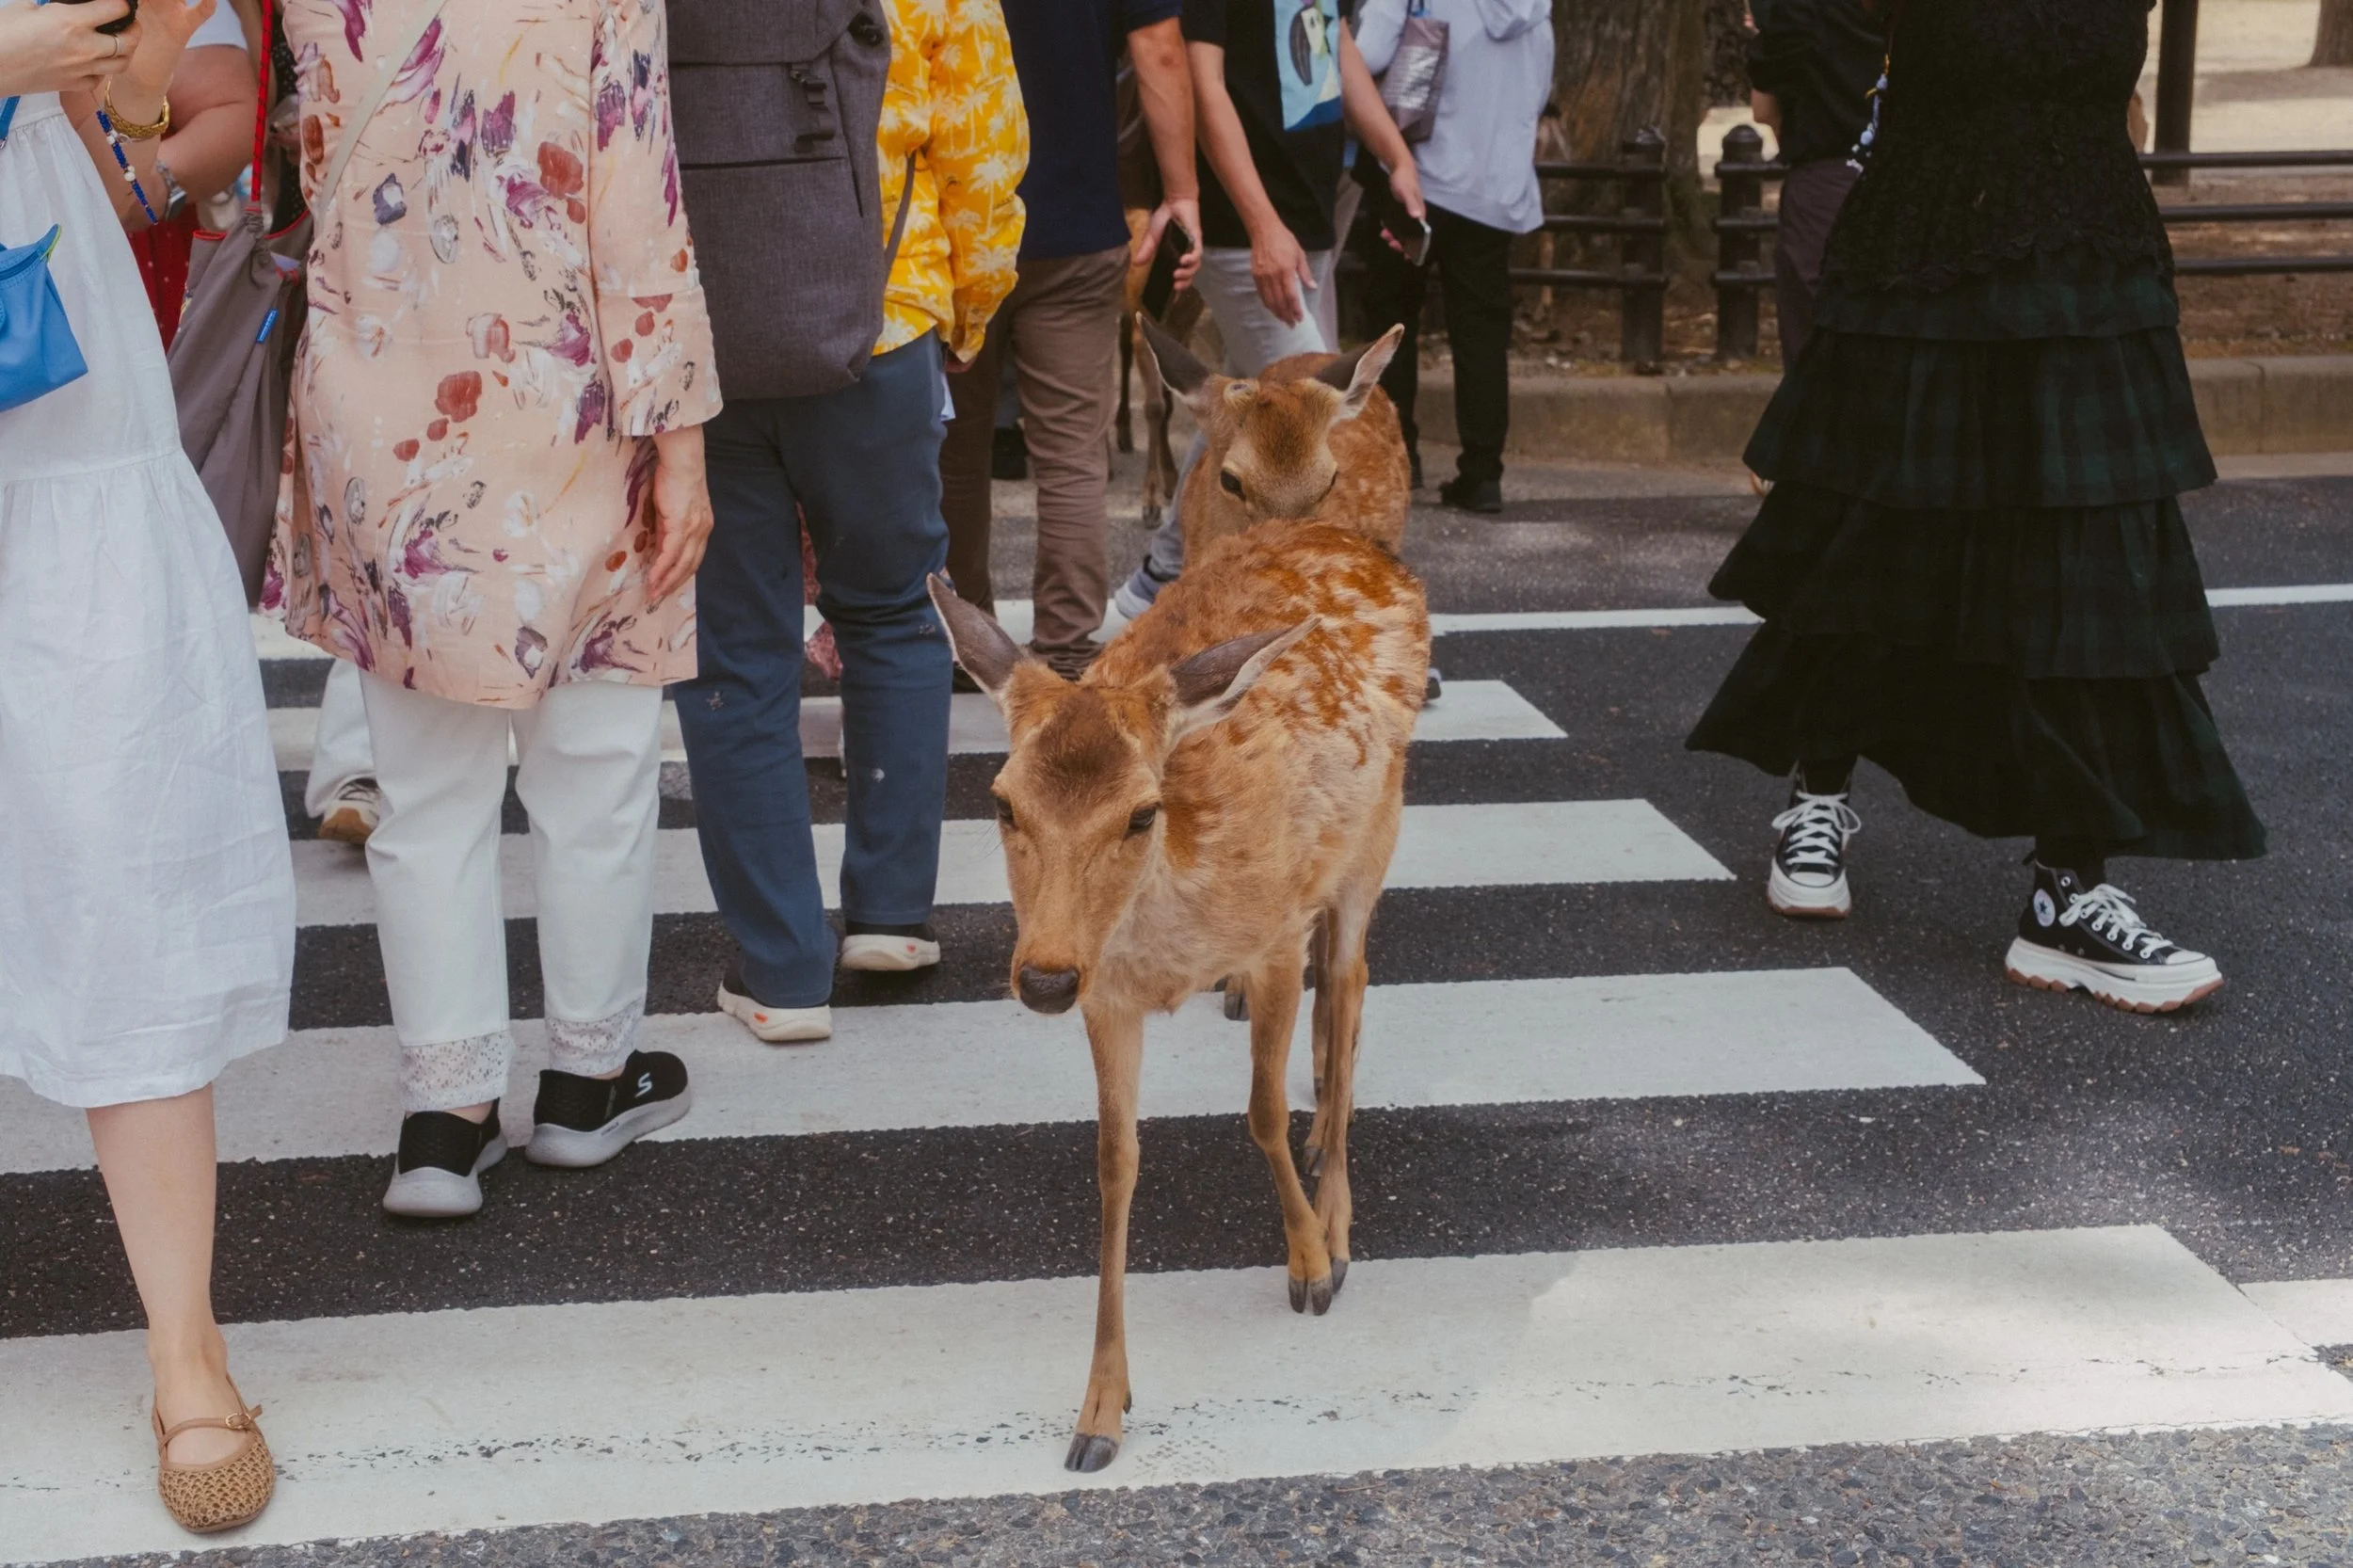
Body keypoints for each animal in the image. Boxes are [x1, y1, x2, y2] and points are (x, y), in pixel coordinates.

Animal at [926, 510, 1431, 1476]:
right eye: (1003, 802)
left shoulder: (1274, 935)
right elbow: (1114, 1162)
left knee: (1351, 980)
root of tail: (1348, 535)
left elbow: (1261, 1110)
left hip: (1378, 830)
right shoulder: (1109, 997)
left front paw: (1310, 1265)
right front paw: (1100, 1410)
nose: (1043, 976)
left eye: (1140, 812)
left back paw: (1339, 1215)